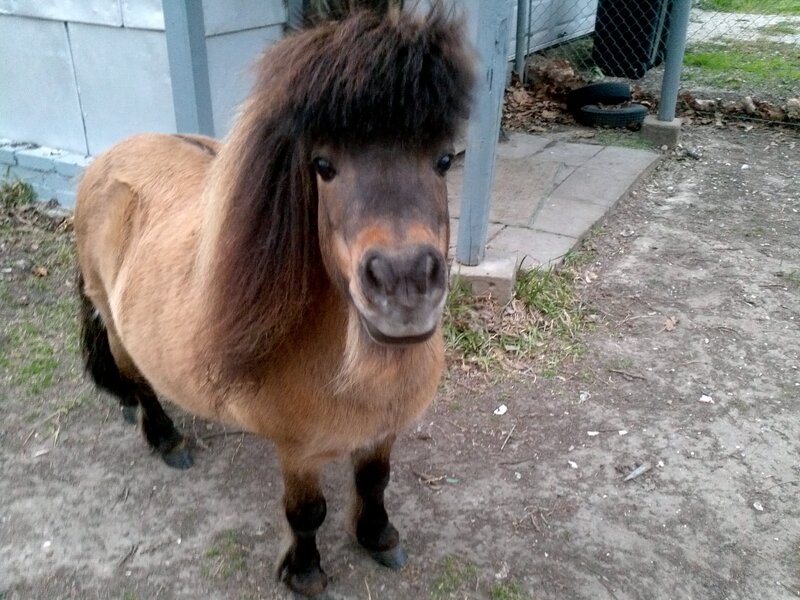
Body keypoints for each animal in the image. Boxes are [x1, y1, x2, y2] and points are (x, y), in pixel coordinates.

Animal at [74, 7, 472, 597]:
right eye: (323, 165)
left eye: (443, 159)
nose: (403, 284)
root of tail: (106, 158)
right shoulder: (298, 451)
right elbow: (306, 513)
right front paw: (305, 572)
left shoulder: (383, 431)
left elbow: (375, 481)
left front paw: (378, 537)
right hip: (116, 322)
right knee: (138, 378)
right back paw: (167, 440)